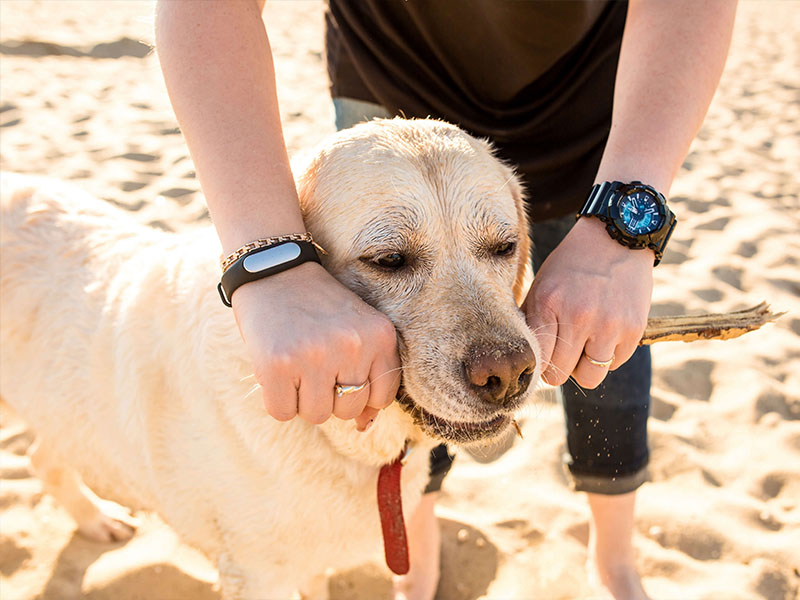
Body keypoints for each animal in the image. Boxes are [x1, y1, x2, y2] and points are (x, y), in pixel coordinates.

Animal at [0, 118, 540, 600]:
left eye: (504, 247)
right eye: (388, 260)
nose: (510, 374)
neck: (330, 432)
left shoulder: (309, 564)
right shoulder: (258, 576)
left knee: (41, 456)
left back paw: (97, 521)